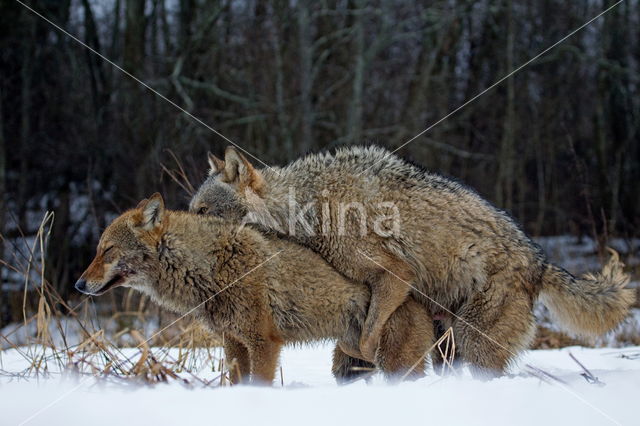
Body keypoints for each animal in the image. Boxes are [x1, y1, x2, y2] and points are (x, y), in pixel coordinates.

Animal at [76, 195, 436, 384]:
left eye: (107, 251)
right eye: (97, 251)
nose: (79, 285)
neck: (210, 266)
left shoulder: (264, 343)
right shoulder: (234, 344)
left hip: (393, 367)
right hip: (349, 365)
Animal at [188, 146, 632, 376]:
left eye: (204, 211)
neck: (306, 204)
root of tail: (540, 259)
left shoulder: (395, 274)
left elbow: (369, 338)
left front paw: (368, 352)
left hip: (472, 342)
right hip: (448, 343)